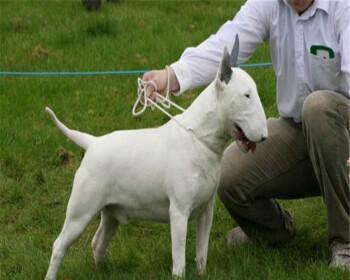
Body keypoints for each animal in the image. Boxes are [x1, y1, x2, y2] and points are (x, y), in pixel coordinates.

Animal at [43, 35, 268, 280]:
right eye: (246, 95)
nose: (264, 137)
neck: (199, 140)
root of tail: (92, 142)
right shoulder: (178, 212)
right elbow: (179, 260)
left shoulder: (206, 211)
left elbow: (202, 252)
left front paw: (202, 273)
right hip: (81, 211)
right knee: (59, 246)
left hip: (111, 212)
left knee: (98, 242)